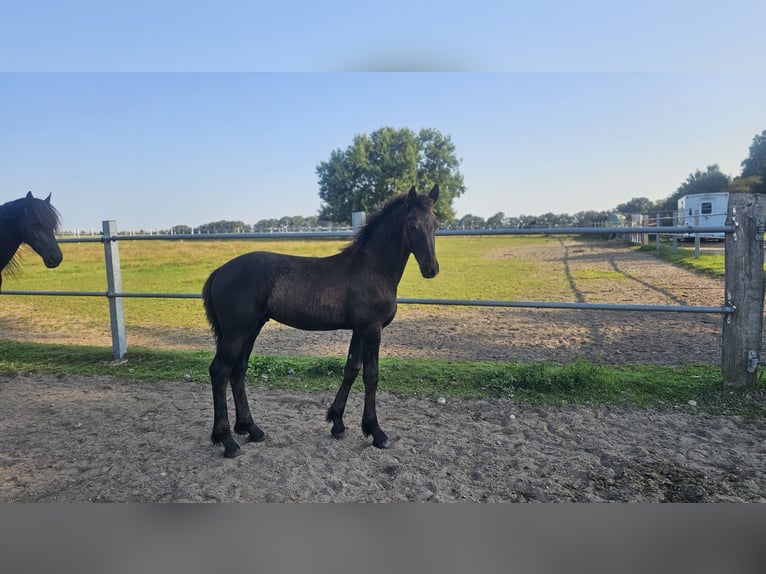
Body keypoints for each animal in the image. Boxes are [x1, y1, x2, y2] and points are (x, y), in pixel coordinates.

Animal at [204, 184, 440, 460]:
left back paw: (251, 429)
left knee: (238, 371)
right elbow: (371, 375)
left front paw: (337, 423)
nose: (431, 269)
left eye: (435, 224)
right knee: (220, 371)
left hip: (251, 330)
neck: (372, 268)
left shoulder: (359, 331)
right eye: (411, 224)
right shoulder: (372, 330)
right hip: (235, 333)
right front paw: (376, 432)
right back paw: (227, 441)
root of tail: (220, 271)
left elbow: (351, 369)